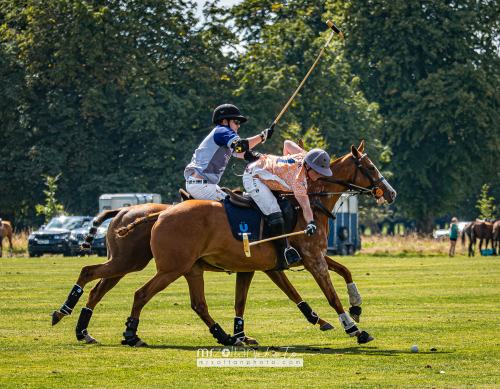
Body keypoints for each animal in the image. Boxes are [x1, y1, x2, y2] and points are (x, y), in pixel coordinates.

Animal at [51, 203, 360, 342]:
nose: (384, 191)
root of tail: (123, 211)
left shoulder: (263, 266)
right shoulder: (298, 259)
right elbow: (310, 291)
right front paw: (343, 323)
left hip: (140, 263)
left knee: (97, 285)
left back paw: (81, 328)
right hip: (154, 265)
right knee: (111, 282)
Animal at [123, 141, 396, 348]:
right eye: (370, 167)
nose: (391, 193)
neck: (311, 202)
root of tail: (161, 213)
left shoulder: (301, 257)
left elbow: (344, 270)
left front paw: (356, 306)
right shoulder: (311, 258)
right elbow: (331, 296)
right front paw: (354, 329)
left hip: (192, 268)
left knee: (198, 304)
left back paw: (225, 337)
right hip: (172, 268)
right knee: (141, 293)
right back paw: (132, 334)